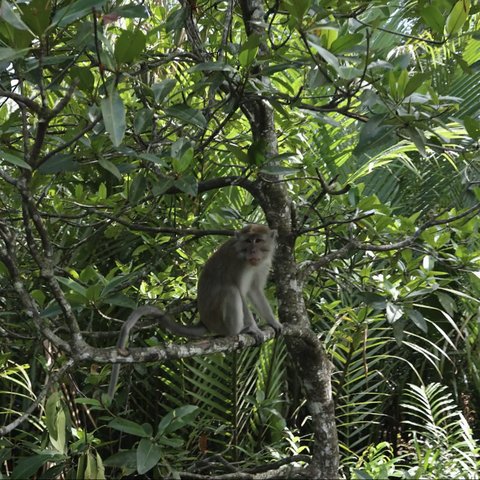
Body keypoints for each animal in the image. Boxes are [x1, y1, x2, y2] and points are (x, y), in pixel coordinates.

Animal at [108, 224, 282, 398]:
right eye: (248, 241)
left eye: (258, 240)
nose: (252, 251)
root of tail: (204, 321)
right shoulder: (238, 264)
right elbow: (239, 290)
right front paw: (253, 328)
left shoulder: (263, 264)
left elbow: (255, 291)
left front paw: (273, 321)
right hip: (216, 318)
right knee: (230, 291)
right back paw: (238, 330)